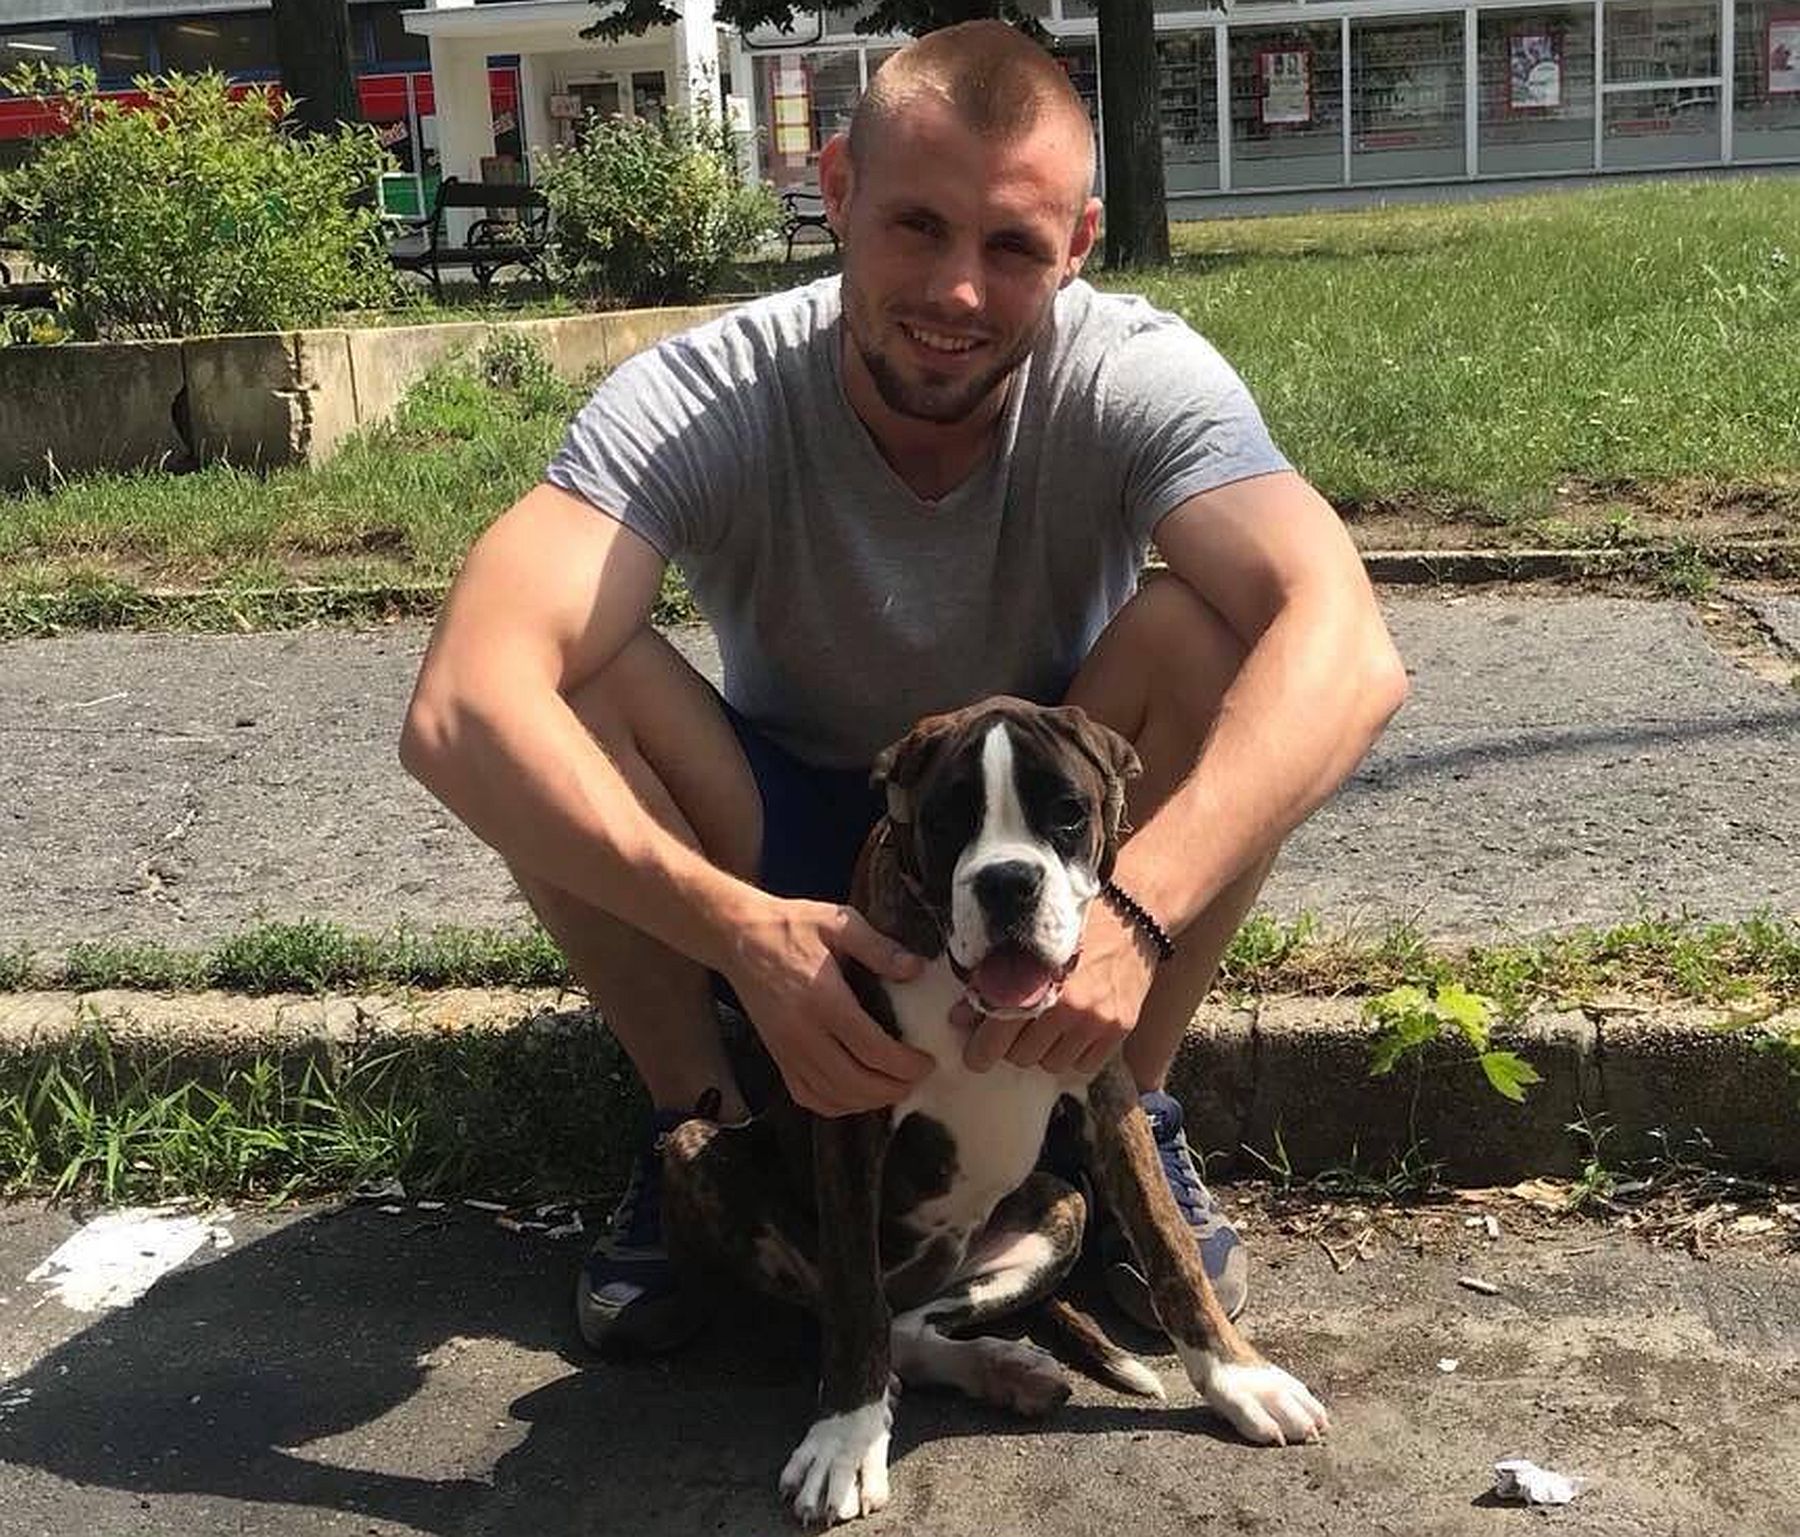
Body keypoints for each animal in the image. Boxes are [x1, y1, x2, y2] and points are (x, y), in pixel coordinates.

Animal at [662, 696, 1328, 1526]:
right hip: (691, 1145)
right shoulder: (848, 1108)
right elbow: (851, 1295)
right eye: (948, 818)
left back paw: (1004, 1367)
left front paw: (1241, 1378)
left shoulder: (1107, 1095)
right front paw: (845, 1438)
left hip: (1061, 1202)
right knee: (866, 1316)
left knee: (909, 1325)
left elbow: (1169, 1244)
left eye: (1067, 812)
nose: (1009, 881)